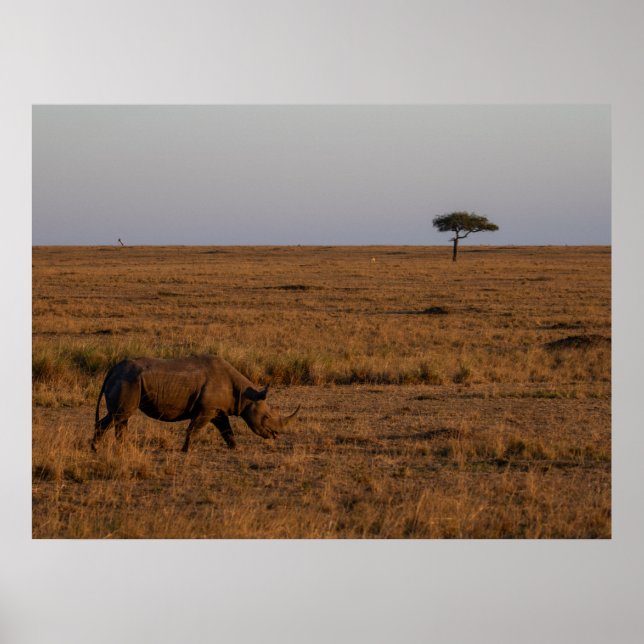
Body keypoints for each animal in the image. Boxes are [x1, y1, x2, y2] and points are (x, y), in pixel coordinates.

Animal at [91, 355, 300, 452]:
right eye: (267, 417)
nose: (276, 435)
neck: (246, 395)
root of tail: (112, 370)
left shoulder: (217, 410)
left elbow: (227, 430)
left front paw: (236, 447)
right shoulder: (206, 410)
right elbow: (194, 428)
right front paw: (186, 450)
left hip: (127, 380)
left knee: (119, 417)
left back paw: (118, 448)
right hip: (128, 381)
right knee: (120, 416)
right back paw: (103, 448)